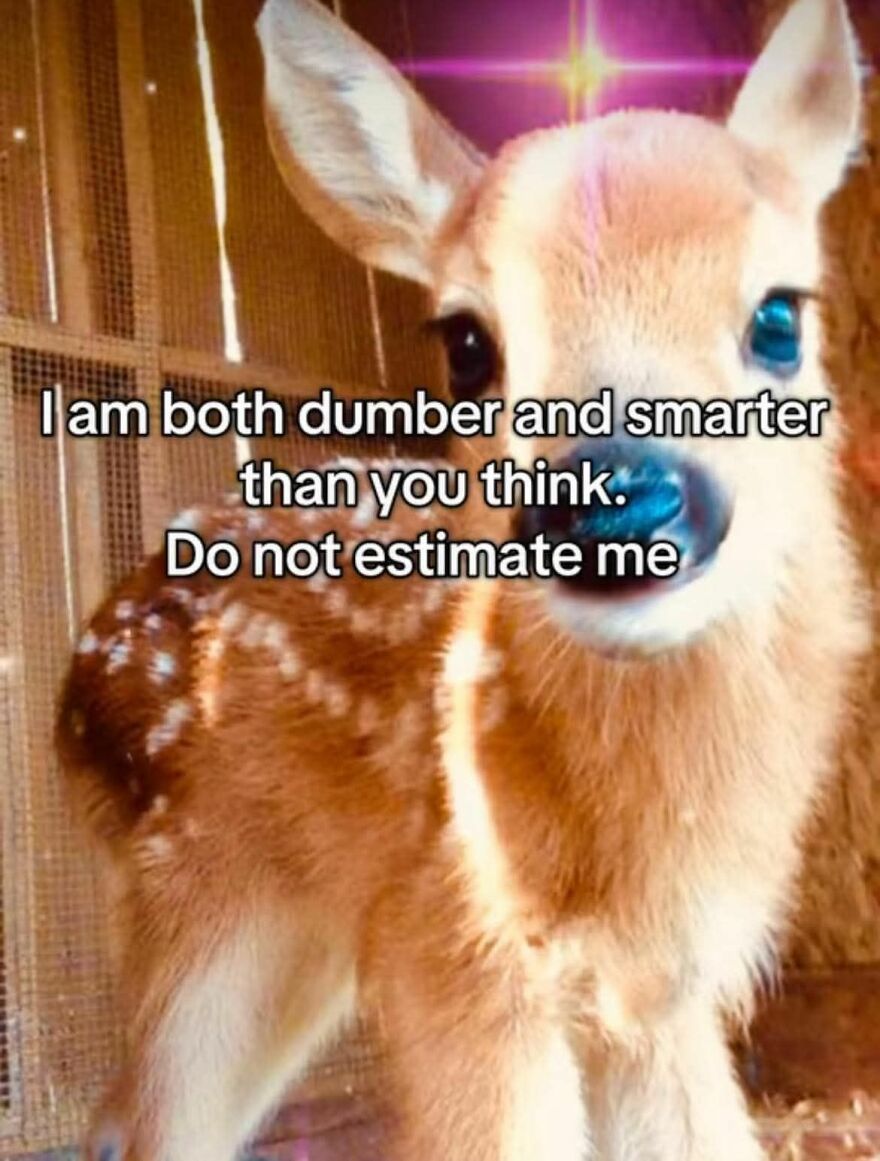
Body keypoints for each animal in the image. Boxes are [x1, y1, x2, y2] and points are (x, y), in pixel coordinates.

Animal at [56, 0, 868, 1158]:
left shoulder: (663, 983)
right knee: (146, 1125)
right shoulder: (455, 938)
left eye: (779, 319)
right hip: (210, 904)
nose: (614, 506)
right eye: (469, 346)